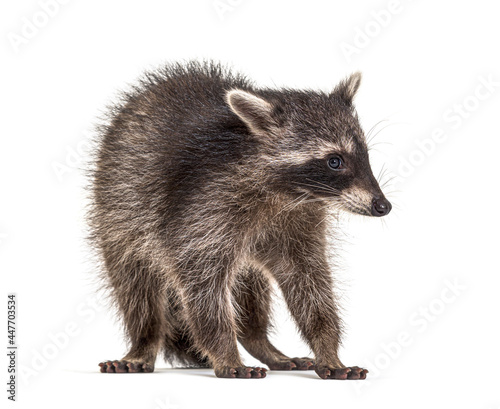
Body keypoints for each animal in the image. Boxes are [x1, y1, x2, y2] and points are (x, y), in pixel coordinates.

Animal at [92, 60, 392, 380]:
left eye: (365, 156)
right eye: (335, 161)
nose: (383, 206)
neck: (288, 193)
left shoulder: (299, 220)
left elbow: (309, 281)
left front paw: (328, 348)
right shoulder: (201, 210)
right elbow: (203, 287)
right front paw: (225, 353)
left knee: (251, 287)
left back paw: (259, 340)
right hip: (117, 212)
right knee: (136, 287)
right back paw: (144, 341)